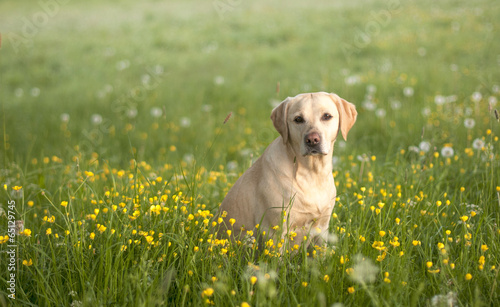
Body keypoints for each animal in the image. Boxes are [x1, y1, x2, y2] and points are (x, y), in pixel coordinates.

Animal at [218, 92, 356, 250]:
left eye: (326, 116)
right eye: (298, 119)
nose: (312, 140)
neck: (311, 174)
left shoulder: (322, 229)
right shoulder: (275, 232)